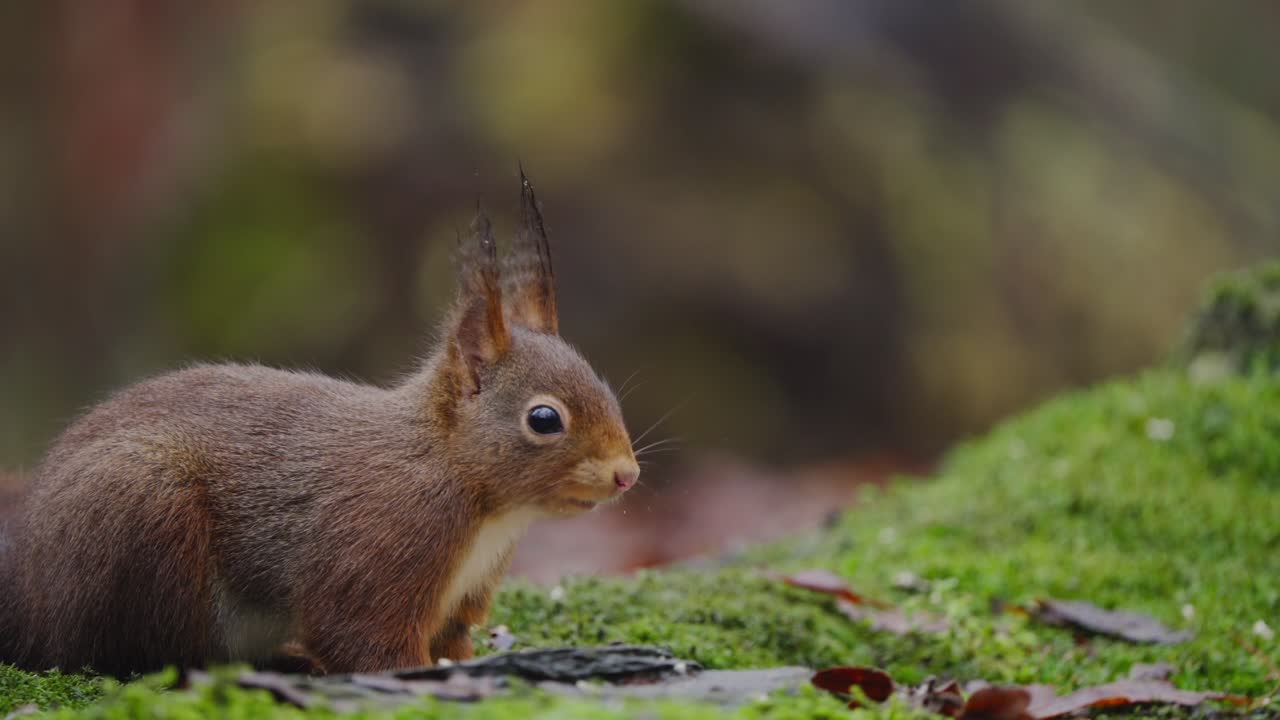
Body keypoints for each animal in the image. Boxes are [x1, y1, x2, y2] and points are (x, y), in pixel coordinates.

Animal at [0, 173, 640, 677]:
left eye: (605, 389)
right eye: (543, 419)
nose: (626, 476)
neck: (464, 482)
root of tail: (30, 592)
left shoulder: (464, 598)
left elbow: (452, 641)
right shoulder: (376, 550)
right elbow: (362, 638)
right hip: (141, 512)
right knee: (141, 653)